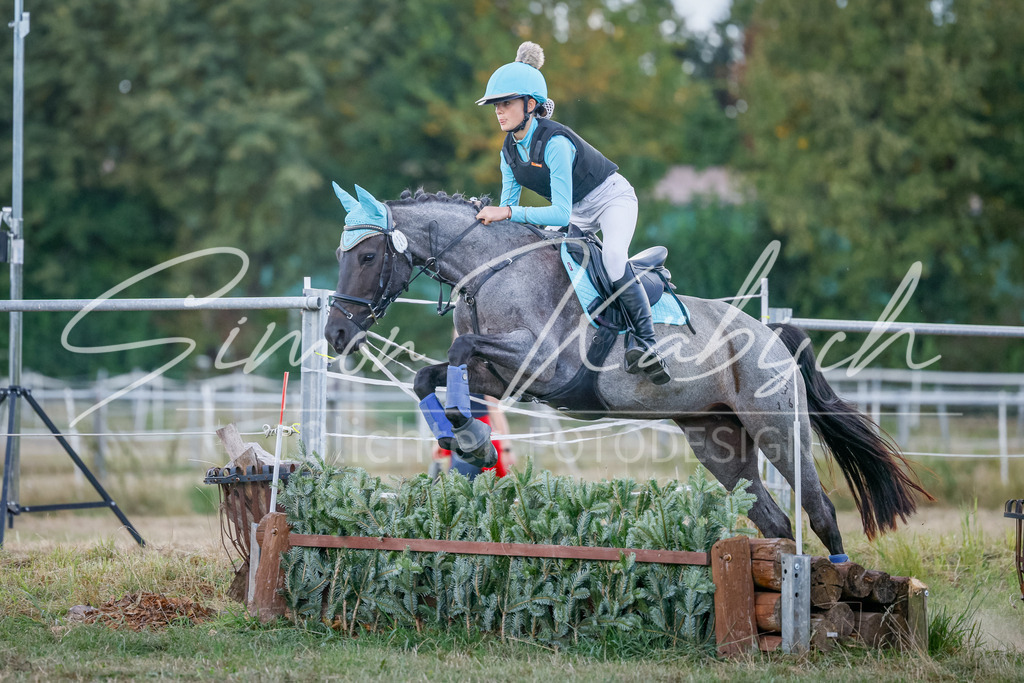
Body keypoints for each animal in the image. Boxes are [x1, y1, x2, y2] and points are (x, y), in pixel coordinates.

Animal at [323, 185, 931, 559]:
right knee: (773, 518)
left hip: (778, 429)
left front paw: (472, 441)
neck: (495, 270)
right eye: (342, 255)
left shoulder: (544, 364)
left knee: (820, 510)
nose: (335, 336)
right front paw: (467, 440)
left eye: (369, 257)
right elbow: (430, 377)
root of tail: (768, 335)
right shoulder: (502, 373)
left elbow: (457, 351)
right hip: (717, 441)